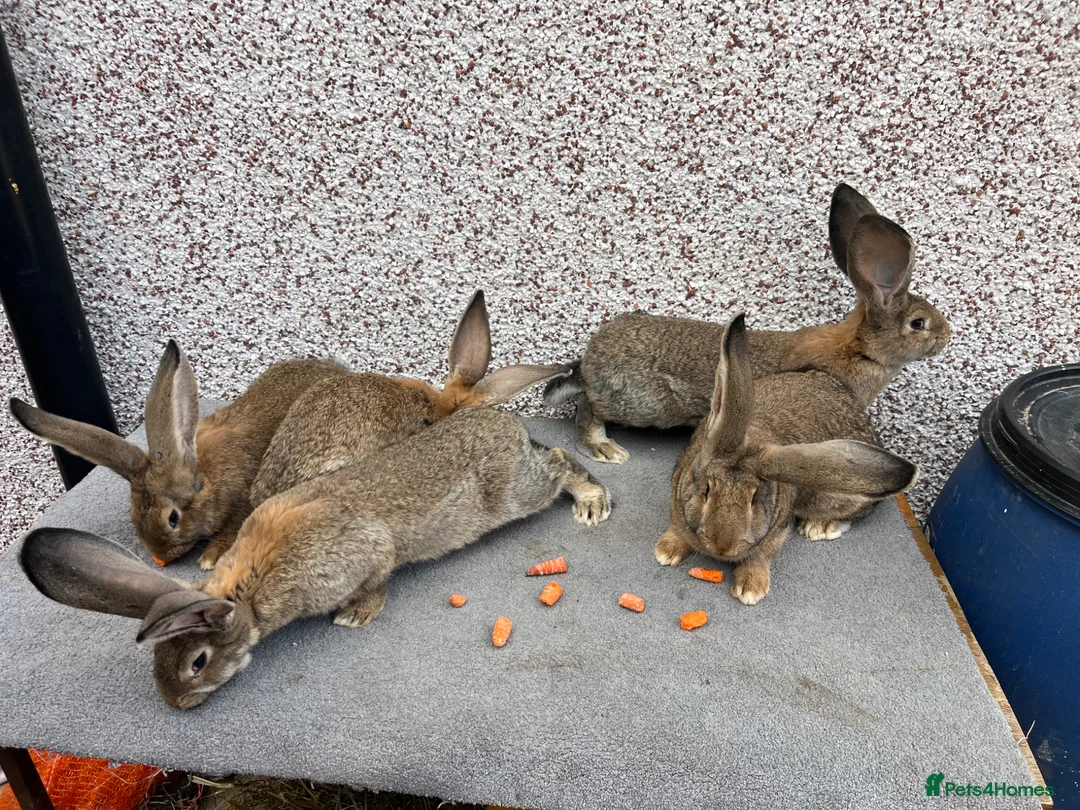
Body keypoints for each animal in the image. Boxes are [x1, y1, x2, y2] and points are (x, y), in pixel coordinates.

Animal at [19, 406, 612, 708]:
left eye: (197, 663)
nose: (176, 703)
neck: (248, 594)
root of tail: (506, 424)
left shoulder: (367, 555)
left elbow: (379, 578)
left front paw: (356, 616)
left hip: (514, 493)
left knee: (560, 461)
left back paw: (591, 503)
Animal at [544, 183, 950, 463]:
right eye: (918, 324)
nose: (947, 337)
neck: (861, 349)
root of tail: (590, 361)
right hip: (643, 404)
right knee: (589, 405)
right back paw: (604, 447)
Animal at [654, 313, 918, 606]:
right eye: (707, 490)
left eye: (755, 499)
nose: (723, 546)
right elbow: (678, 530)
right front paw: (666, 552)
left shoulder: (776, 533)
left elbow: (760, 556)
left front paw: (751, 590)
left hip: (849, 484)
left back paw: (820, 527)